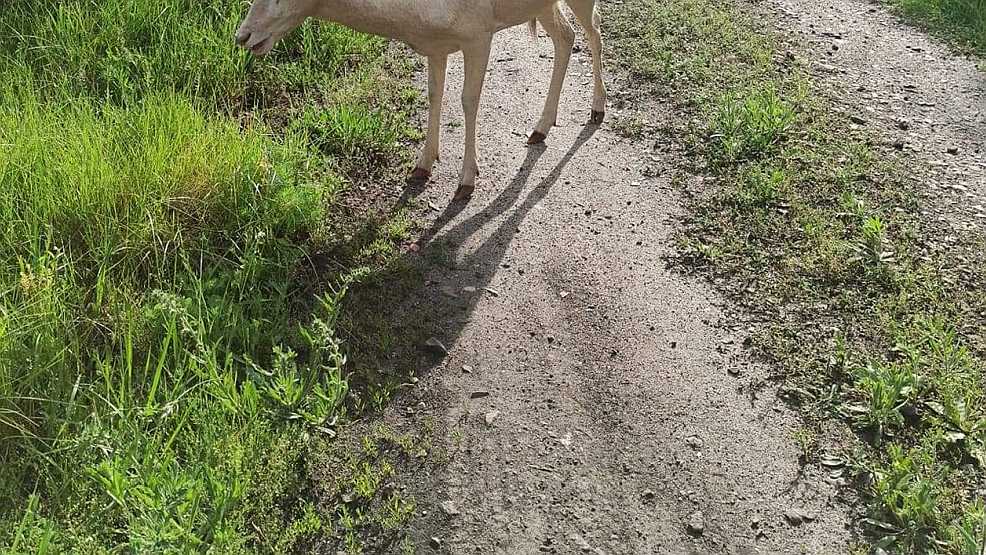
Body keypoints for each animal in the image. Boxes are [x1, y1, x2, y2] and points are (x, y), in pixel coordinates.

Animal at [238, 0, 608, 202]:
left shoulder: (478, 33)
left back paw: (597, 110)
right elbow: (434, 94)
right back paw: (540, 128)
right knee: (566, 36)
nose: (242, 36)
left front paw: (466, 182)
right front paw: (422, 166)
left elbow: (469, 100)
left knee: (594, 32)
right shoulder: (435, 45)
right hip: (541, 5)